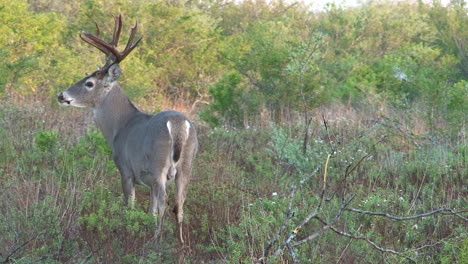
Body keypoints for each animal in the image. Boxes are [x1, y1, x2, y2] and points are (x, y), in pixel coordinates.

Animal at [56, 14, 197, 245]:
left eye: (89, 83)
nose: (61, 95)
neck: (119, 127)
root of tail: (178, 124)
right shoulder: (147, 179)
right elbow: (150, 210)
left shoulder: (125, 169)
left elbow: (129, 206)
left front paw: (126, 232)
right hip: (186, 166)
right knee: (180, 205)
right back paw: (181, 245)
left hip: (159, 165)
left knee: (165, 202)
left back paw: (157, 242)